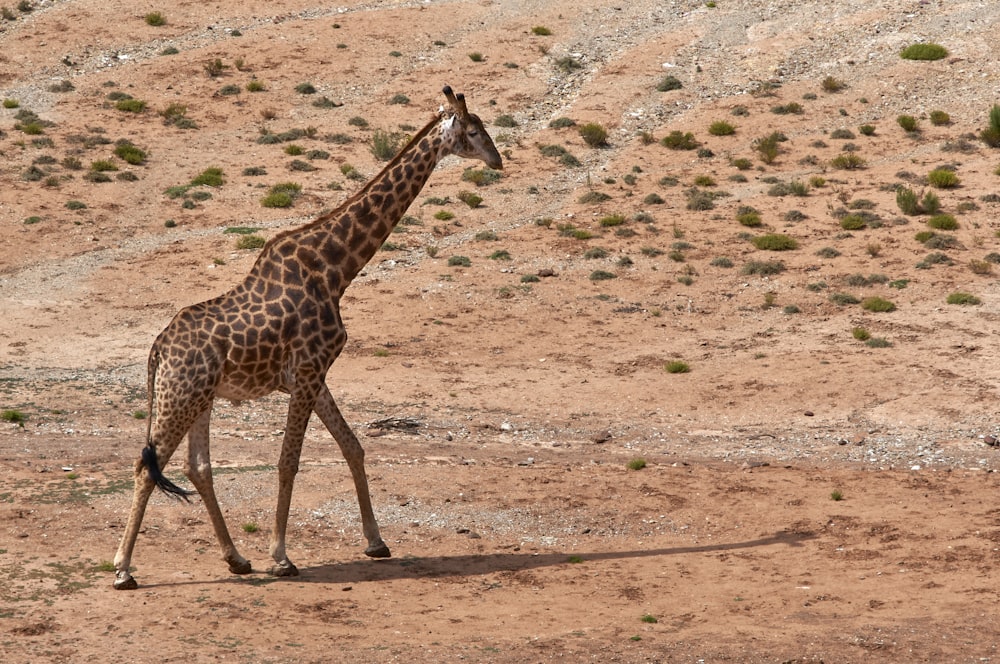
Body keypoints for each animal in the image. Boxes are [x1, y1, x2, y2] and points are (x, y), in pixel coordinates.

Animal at [113, 85, 504, 588]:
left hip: (199, 398)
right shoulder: (307, 371)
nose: (498, 160)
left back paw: (236, 559)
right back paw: (123, 570)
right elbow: (289, 461)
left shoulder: (314, 374)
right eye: (473, 131)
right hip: (179, 398)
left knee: (196, 468)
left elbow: (352, 446)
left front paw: (376, 542)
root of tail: (157, 351)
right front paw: (282, 557)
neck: (336, 269)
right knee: (147, 467)